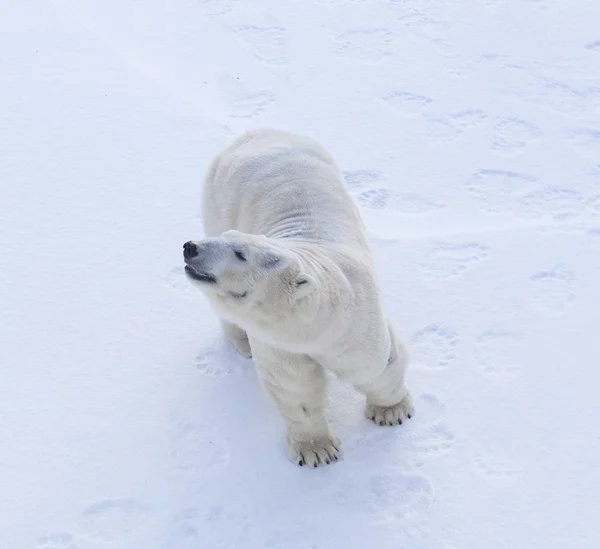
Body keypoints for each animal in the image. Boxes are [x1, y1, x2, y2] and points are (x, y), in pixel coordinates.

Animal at [184, 128, 412, 466]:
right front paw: (316, 450)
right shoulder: (278, 344)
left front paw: (391, 412)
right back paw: (242, 343)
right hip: (218, 198)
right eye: (227, 240)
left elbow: (375, 364)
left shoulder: (355, 326)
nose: (190, 248)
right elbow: (294, 388)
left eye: (239, 252)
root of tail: (254, 133)